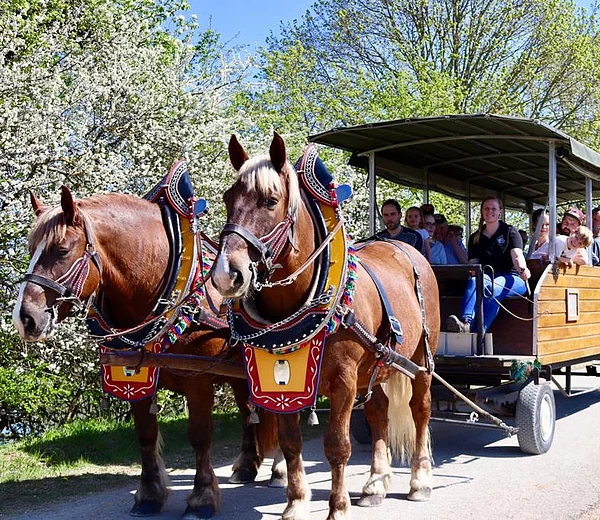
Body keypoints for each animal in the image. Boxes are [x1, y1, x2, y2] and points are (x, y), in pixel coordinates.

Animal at [11, 187, 278, 520]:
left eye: (61, 250)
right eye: (31, 249)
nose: (24, 318)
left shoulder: (198, 379)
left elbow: (200, 435)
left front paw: (201, 498)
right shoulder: (135, 377)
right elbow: (146, 435)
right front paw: (149, 495)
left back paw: (279, 471)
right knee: (247, 410)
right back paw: (246, 465)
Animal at [212, 134, 440, 520]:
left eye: (270, 201)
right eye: (229, 198)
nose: (227, 274)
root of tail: (405, 248)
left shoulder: (343, 379)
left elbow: (337, 445)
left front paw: (337, 508)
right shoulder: (280, 381)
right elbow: (290, 443)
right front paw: (296, 502)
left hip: (422, 359)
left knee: (420, 409)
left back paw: (420, 481)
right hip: (375, 366)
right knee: (378, 412)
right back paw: (375, 482)